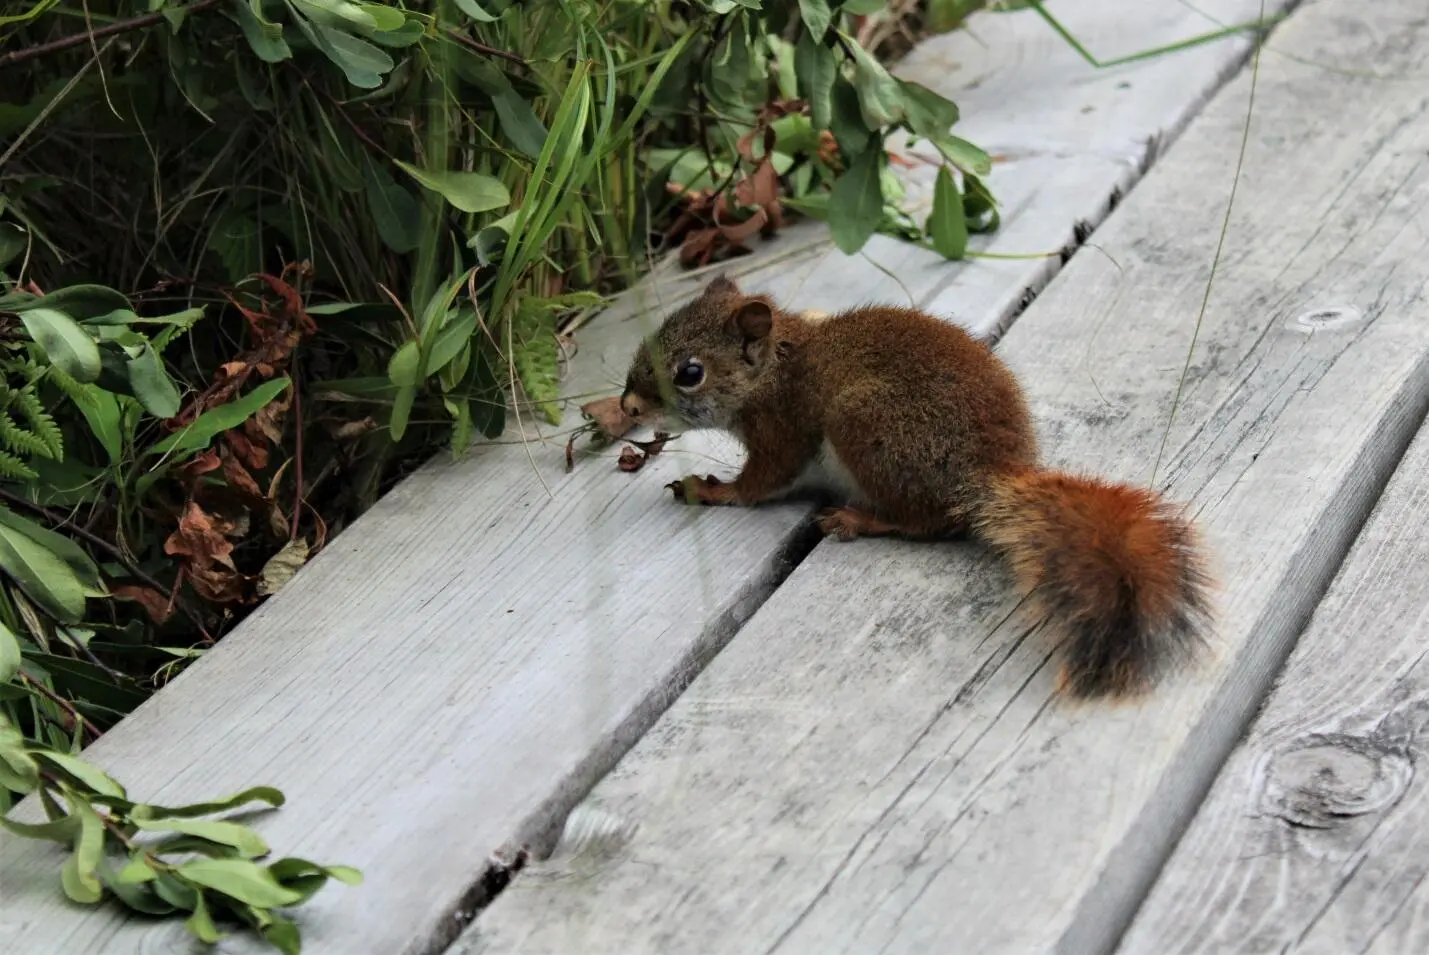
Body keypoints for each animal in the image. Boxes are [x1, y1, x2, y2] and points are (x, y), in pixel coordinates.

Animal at [620, 275, 1211, 700]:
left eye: (689, 372)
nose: (627, 407)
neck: (776, 366)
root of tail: (986, 471)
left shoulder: (781, 430)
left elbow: (761, 482)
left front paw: (712, 490)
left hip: (866, 425)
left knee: (930, 521)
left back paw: (859, 518)